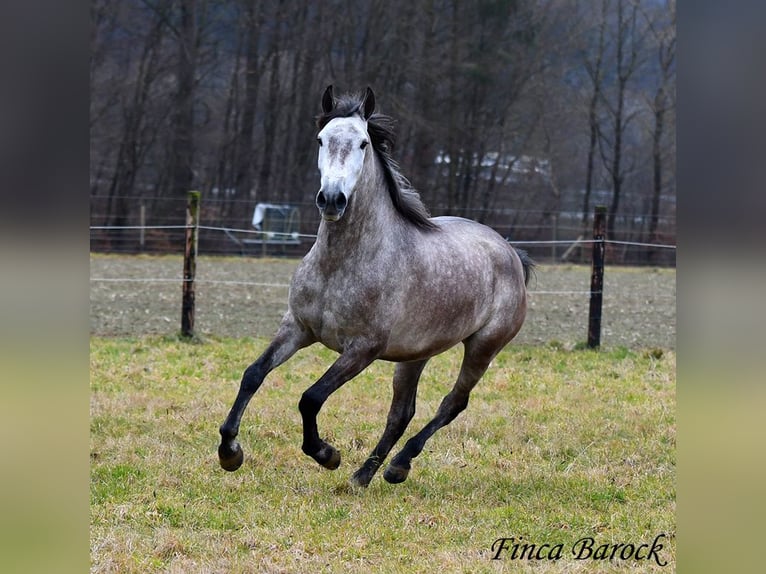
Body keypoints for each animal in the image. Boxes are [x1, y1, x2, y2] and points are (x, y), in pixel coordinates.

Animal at [218, 86, 536, 490]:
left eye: (364, 143)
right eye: (321, 139)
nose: (332, 199)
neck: (340, 264)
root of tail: (510, 252)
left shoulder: (362, 349)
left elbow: (311, 397)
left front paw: (327, 454)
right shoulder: (298, 328)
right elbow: (253, 374)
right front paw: (230, 452)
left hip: (483, 346)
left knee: (453, 403)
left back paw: (396, 466)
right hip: (415, 354)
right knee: (401, 413)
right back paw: (365, 475)